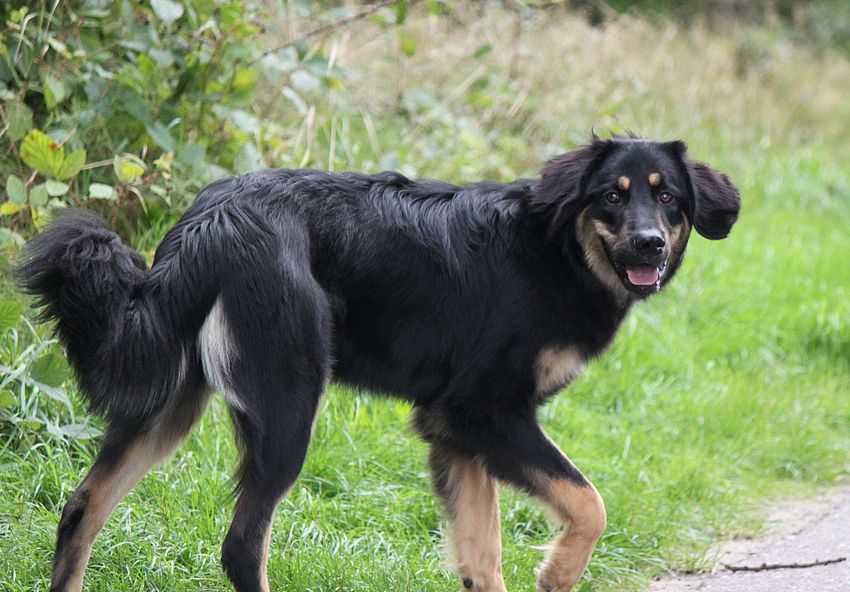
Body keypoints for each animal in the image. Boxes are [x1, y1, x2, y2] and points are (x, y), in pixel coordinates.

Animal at [16, 136, 740, 592]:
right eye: (612, 197)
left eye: (668, 199)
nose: (649, 242)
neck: (558, 249)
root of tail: (210, 220)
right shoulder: (484, 413)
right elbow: (589, 503)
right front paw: (560, 571)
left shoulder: (456, 435)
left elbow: (483, 556)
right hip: (288, 407)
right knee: (242, 545)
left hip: (168, 402)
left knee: (82, 508)